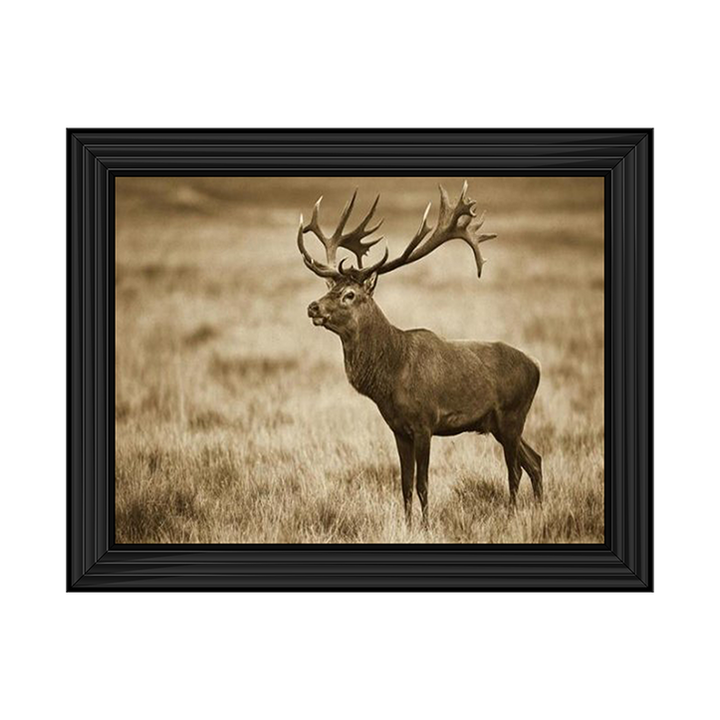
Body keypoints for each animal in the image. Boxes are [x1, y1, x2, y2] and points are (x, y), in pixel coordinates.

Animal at [297, 182, 543, 528]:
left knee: (515, 470)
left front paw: (425, 527)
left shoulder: (425, 422)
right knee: (535, 460)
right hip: (499, 424)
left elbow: (424, 483)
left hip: (512, 415)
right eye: (328, 288)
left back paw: (511, 516)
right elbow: (405, 484)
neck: (390, 376)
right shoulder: (398, 429)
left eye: (350, 294)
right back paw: (540, 510)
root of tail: (536, 367)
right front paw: (407, 524)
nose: (313, 307)